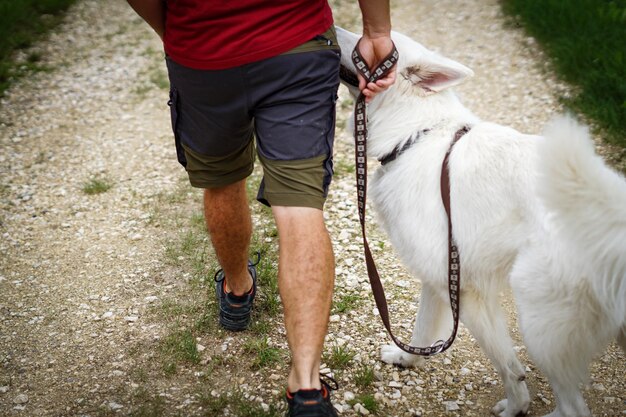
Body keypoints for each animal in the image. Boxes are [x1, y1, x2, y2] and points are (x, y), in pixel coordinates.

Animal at [336, 26, 624, 416]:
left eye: (365, 46)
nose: (328, 29)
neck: (415, 135)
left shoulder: (464, 289)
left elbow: (506, 364)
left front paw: (516, 405)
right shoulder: (440, 280)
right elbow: (423, 332)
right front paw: (405, 359)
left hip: (540, 323)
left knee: (572, 407)